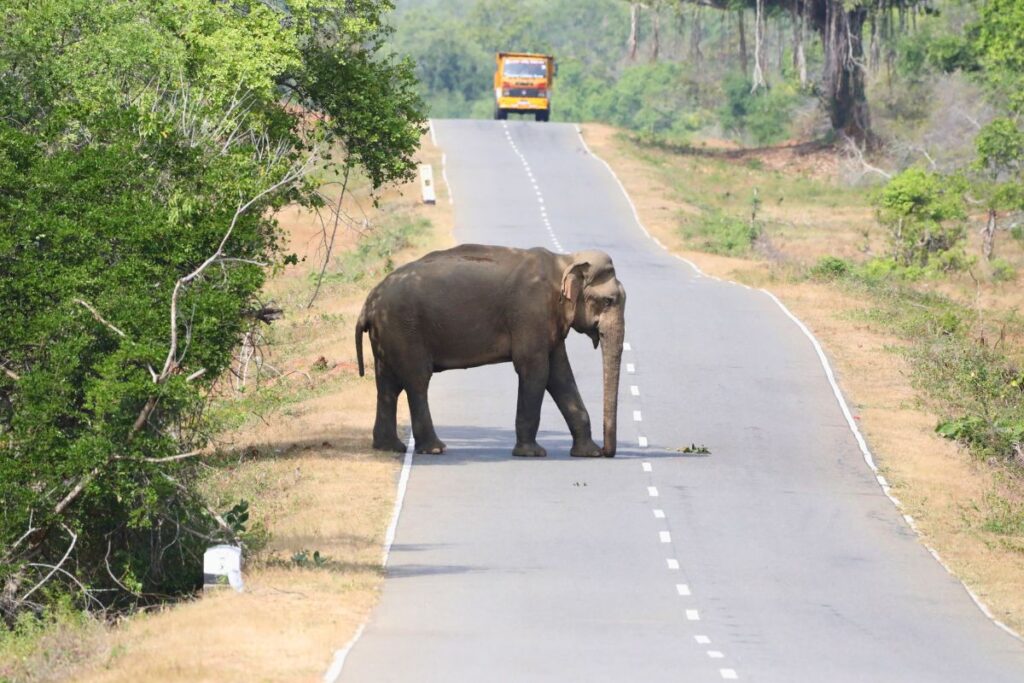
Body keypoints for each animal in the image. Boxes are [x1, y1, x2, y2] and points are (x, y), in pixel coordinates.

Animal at [355, 244, 626, 457]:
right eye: (608, 301)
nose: (606, 452)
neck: (565, 260)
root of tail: (368, 303)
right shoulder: (530, 312)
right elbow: (536, 370)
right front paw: (531, 453)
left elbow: (560, 375)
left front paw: (588, 453)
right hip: (404, 329)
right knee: (416, 381)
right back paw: (434, 449)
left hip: (388, 333)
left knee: (388, 386)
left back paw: (389, 447)